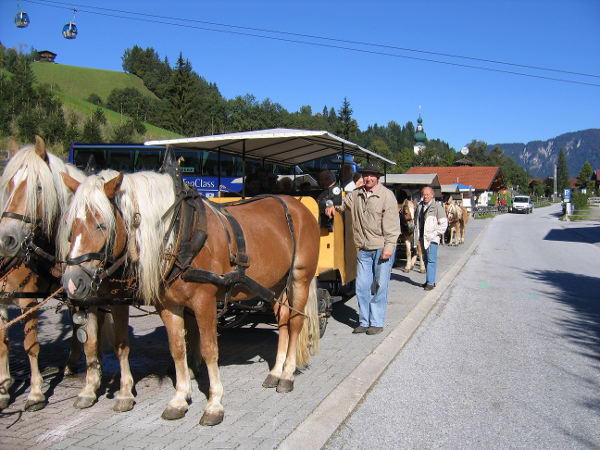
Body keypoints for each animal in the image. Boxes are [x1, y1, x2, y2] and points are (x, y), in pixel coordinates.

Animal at [0, 136, 135, 412]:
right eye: (9, 185)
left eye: (38, 188)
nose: (7, 238)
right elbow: (89, 342)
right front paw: (89, 387)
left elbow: (120, 343)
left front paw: (35, 393)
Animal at [60, 169, 322, 426]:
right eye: (70, 225)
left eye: (101, 225)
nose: (72, 282)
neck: (180, 232)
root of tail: (298, 207)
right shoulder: (169, 306)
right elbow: (177, 349)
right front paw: (179, 399)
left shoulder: (204, 302)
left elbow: (209, 350)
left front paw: (214, 404)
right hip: (275, 285)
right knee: (283, 320)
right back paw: (275, 371)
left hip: (299, 279)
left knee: (296, 323)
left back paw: (287, 375)